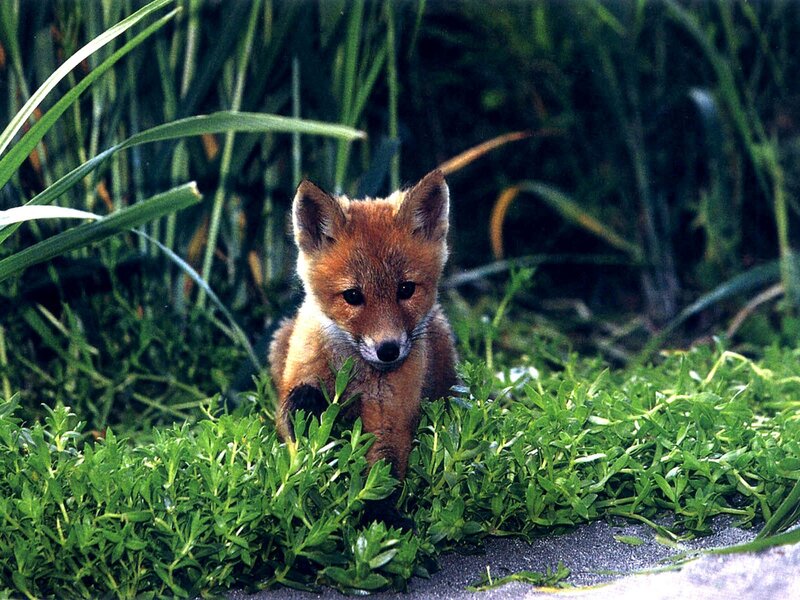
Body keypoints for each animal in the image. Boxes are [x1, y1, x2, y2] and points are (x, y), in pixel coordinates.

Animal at [269, 169, 458, 486]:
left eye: (406, 289)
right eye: (353, 296)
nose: (388, 350)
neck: (354, 375)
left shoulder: (389, 416)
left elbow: (383, 470)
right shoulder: (300, 375)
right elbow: (295, 413)